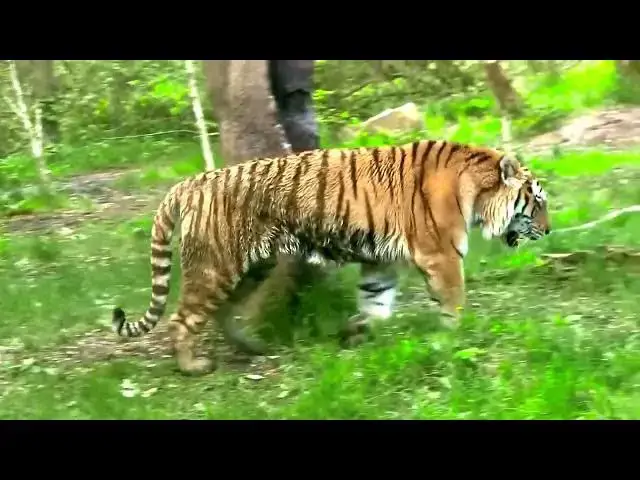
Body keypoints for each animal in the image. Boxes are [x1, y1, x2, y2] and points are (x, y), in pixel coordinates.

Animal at [112, 139, 551, 376]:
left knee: (222, 313)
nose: (549, 231)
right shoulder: (441, 255)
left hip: (251, 267)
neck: (477, 190)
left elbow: (377, 305)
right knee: (182, 320)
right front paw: (457, 339)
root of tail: (187, 184)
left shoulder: (381, 262)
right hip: (215, 267)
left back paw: (253, 347)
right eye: (538, 201)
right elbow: (454, 302)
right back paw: (192, 367)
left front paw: (355, 331)